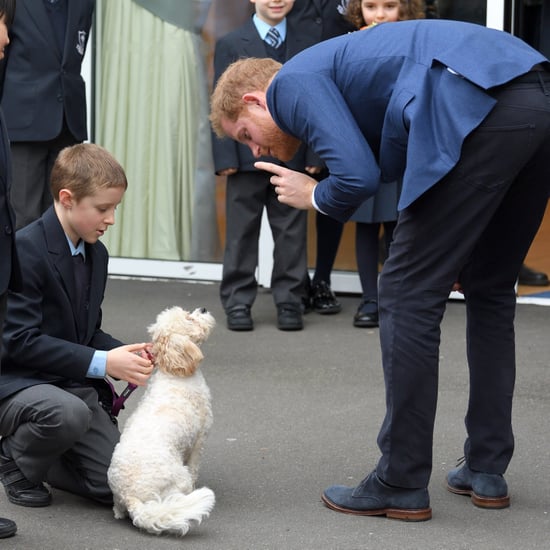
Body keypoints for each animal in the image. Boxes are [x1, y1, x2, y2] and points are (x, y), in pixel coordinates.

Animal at [108, 308, 218, 536]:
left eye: (187, 312)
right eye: (189, 318)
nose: (203, 309)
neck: (174, 373)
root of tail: (129, 496)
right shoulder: (199, 439)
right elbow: (195, 467)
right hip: (179, 477)